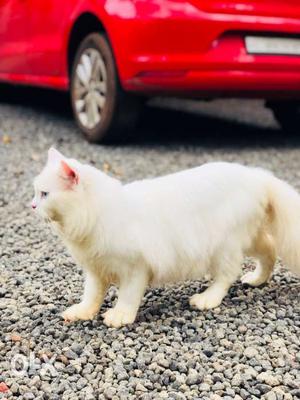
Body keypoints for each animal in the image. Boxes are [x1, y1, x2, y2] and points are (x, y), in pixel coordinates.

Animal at [32, 148, 300, 326]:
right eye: (36, 193)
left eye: (45, 194)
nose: (32, 205)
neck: (95, 214)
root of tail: (257, 175)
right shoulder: (96, 269)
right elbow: (91, 295)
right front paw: (83, 312)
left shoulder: (135, 268)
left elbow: (128, 296)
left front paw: (120, 316)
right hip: (249, 238)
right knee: (269, 251)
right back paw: (256, 279)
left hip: (224, 246)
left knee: (227, 275)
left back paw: (206, 299)